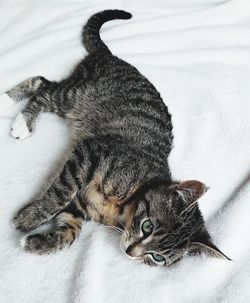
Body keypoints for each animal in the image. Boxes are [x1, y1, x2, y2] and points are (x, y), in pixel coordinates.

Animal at [3, 8, 230, 266]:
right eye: (148, 226)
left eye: (157, 258)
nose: (131, 252)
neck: (124, 206)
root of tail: (111, 56)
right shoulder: (90, 152)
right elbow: (60, 192)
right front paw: (29, 218)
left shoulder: (81, 205)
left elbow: (70, 231)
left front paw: (36, 242)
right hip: (78, 94)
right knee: (43, 87)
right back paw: (16, 113)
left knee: (44, 85)